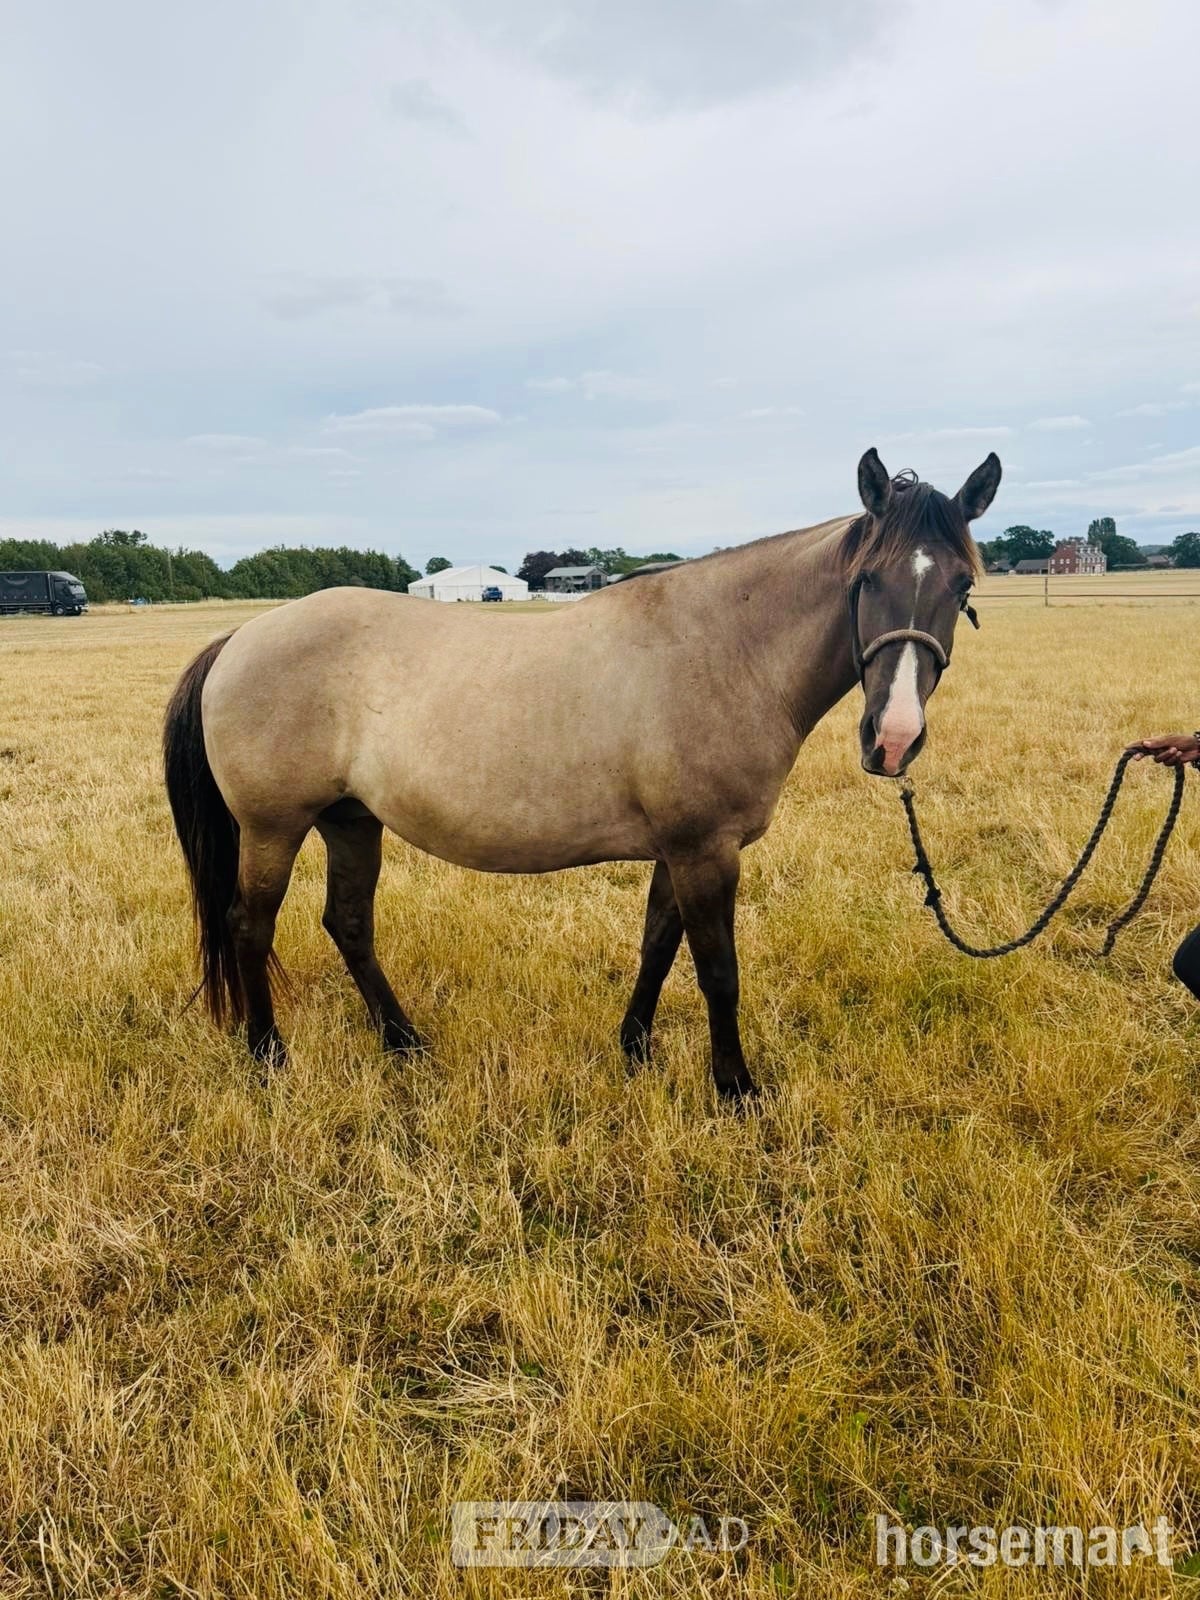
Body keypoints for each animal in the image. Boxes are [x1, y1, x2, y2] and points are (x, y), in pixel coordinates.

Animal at [163, 448, 999, 1102]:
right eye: (867, 581)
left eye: (962, 586)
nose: (894, 739)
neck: (724, 652)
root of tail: (242, 635)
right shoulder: (705, 851)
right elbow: (718, 970)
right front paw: (735, 1088)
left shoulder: (679, 850)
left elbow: (658, 946)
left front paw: (635, 1050)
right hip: (274, 828)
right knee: (250, 925)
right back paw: (269, 1057)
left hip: (350, 821)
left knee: (348, 924)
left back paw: (403, 1042)